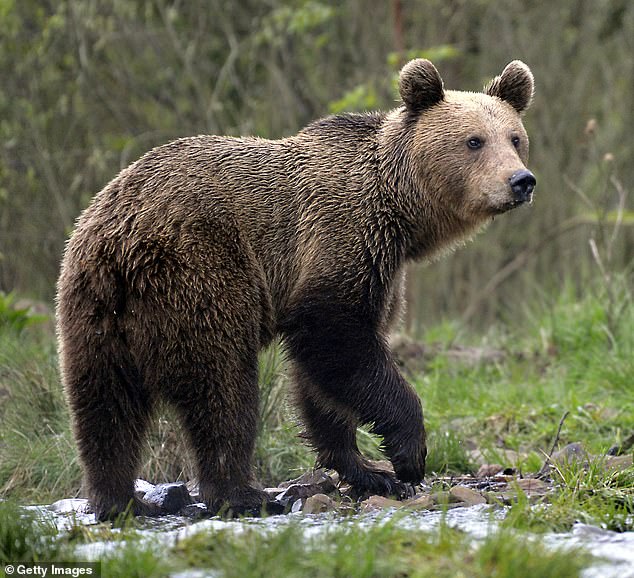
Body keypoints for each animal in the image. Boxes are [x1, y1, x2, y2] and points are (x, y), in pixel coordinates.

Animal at [56, 58, 536, 516]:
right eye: (474, 141)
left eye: (514, 138)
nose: (521, 181)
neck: (399, 211)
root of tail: (121, 238)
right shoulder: (341, 240)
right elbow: (337, 340)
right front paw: (407, 456)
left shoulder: (381, 268)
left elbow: (322, 379)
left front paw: (366, 470)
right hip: (200, 273)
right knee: (223, 386)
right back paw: (243, 493)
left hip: (94, 308)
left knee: (104, 406)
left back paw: (118, 499)